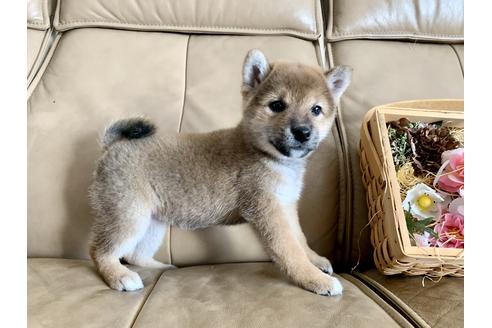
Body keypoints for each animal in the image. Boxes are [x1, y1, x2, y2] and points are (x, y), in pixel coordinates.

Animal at [87, 49, 350, 298]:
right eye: (277, 105)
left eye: (316, 109)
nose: (302, 132)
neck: (266, 155)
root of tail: (112, 145)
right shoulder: (268, 211)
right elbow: (290, 251)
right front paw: (314, 279)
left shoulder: (285, 208)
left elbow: (300, 240)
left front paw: (315, 261)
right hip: (129, 215)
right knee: (101, 251)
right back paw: (119, 275)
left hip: (153, 222)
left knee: (134, 254)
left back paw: (160, 267)